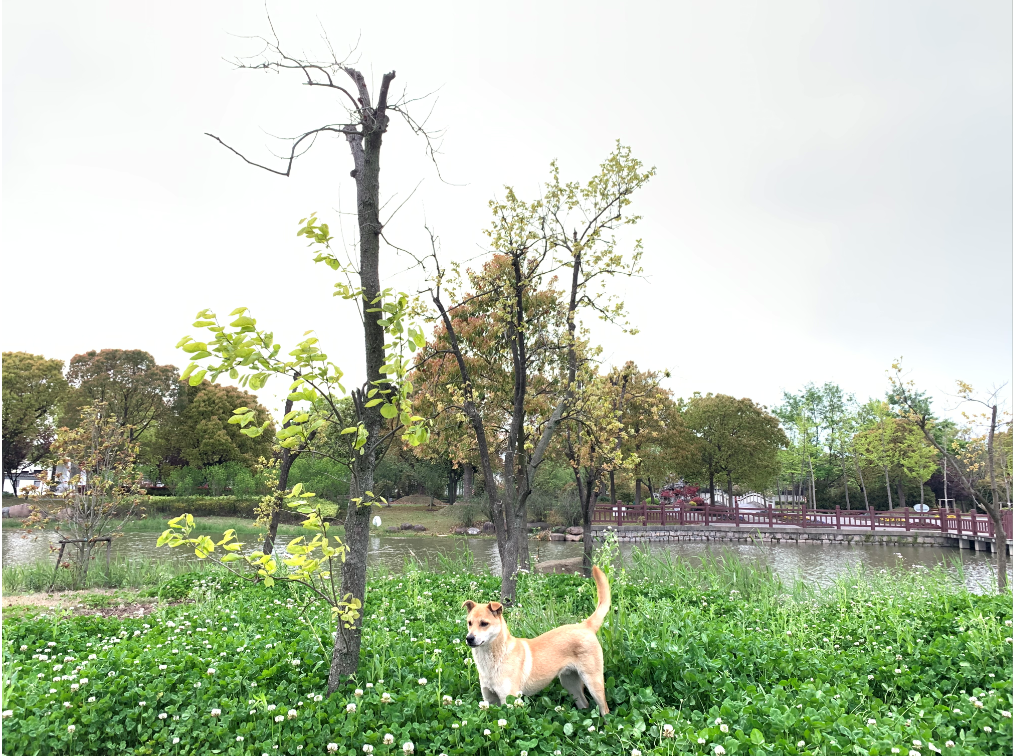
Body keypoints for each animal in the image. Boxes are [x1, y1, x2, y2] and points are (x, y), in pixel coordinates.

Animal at [462, 565, 611, 713]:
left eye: (484, 623)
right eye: (469, 623)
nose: (469, 638)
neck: (495, 657)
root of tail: (585, 625)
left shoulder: (509, 700)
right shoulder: (489, 701)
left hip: (593, 683)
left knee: (605, 709)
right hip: (569, 682)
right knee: (584, 703)